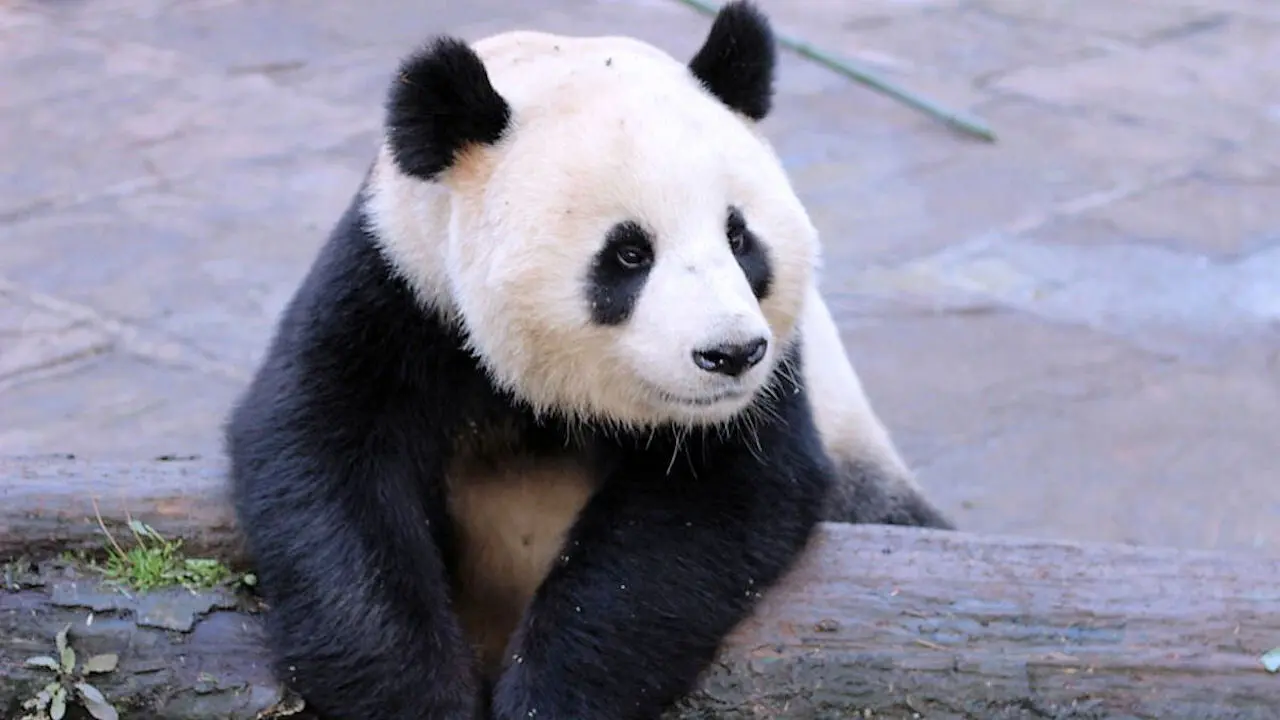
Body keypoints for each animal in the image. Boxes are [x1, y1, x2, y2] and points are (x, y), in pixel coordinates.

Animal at [225, 2, 952, 719]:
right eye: (629, 253)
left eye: (740, 238)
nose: (731, 354)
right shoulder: (400, 293)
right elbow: (325, 468)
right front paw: (419, 699)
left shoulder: (769, 392)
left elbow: (698, 519)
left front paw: (548, 698)